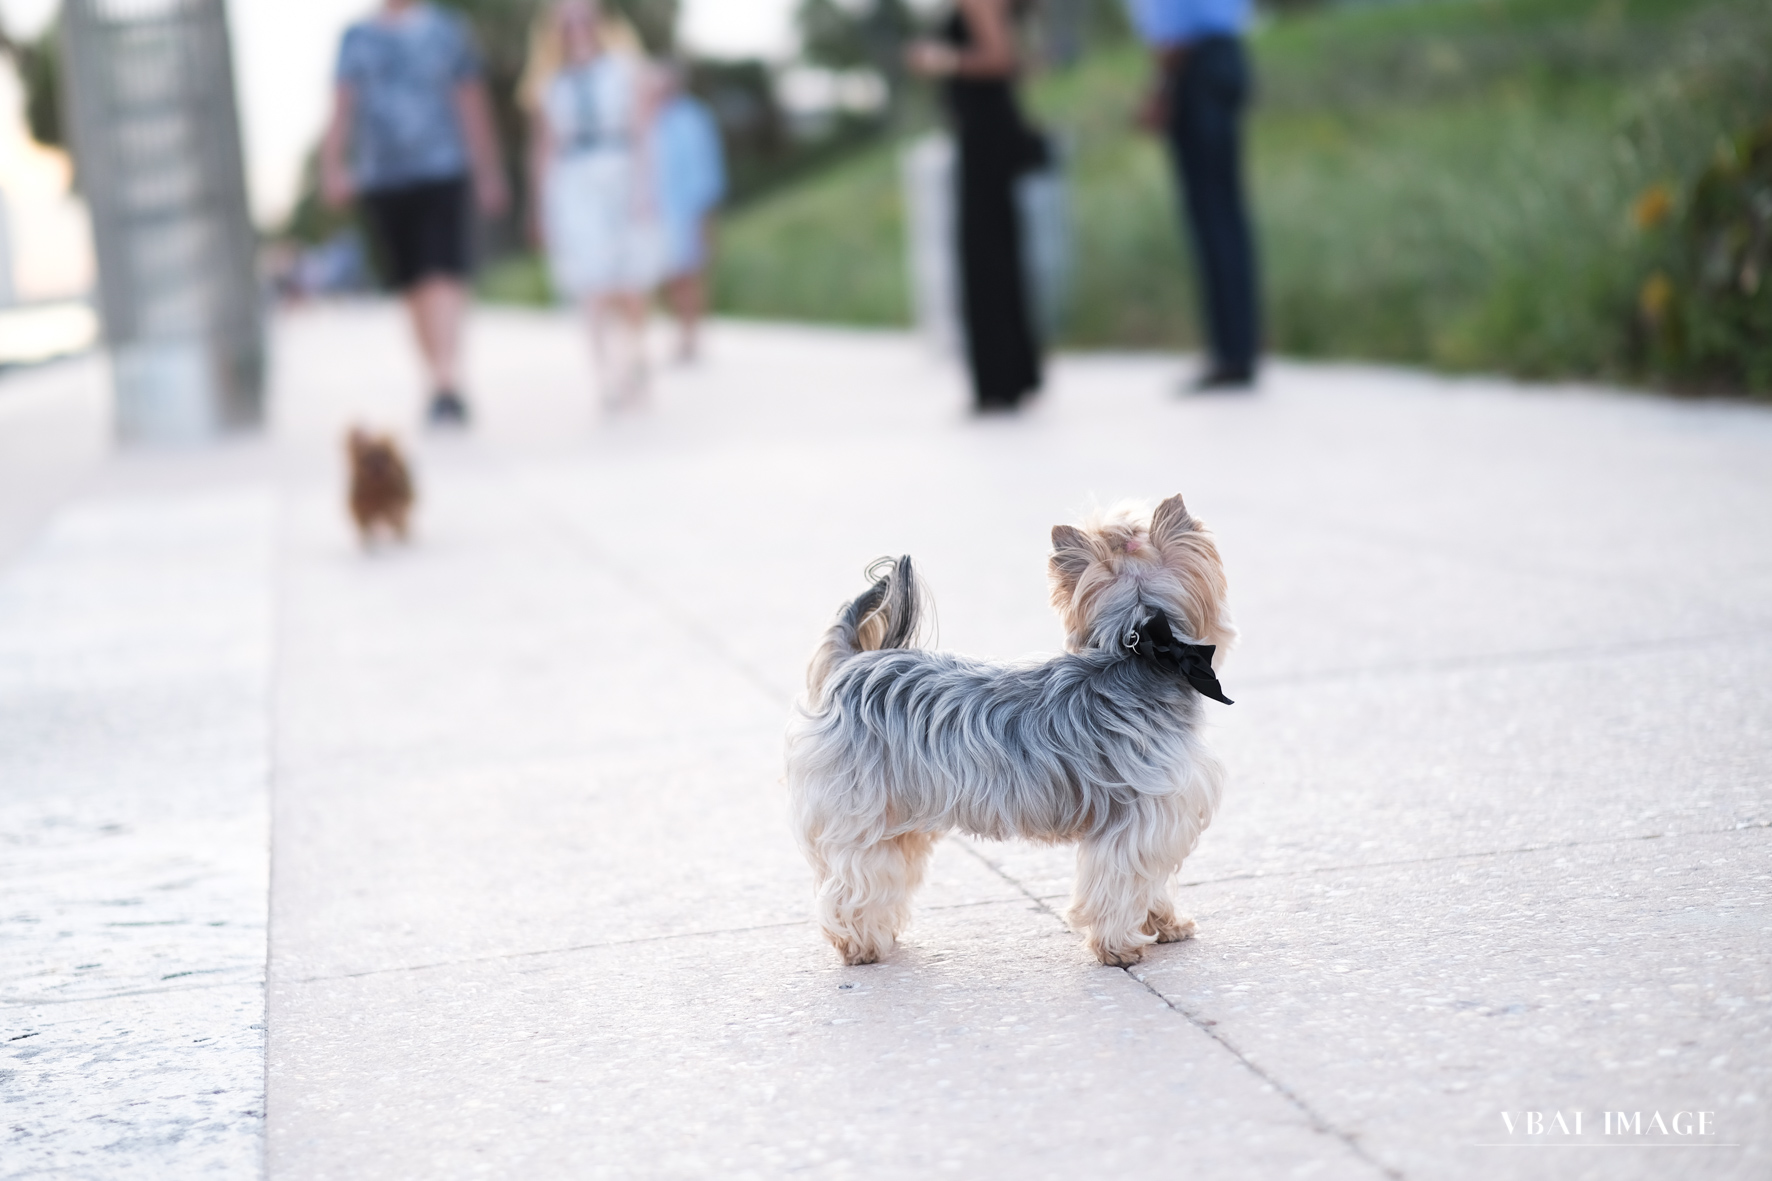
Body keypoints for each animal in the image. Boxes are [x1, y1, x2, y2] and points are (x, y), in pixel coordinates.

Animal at [790, 492, 1233, 964]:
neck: (1144, 655)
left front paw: (1164, 925)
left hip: (900, 814)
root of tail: (852, 665)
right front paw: (1117, 947)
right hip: (862, 811)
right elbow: (1121, 882)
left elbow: (1149, 884)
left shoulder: (1155, 822)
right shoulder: (1140, 822)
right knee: (856, 875)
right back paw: (859, 944)